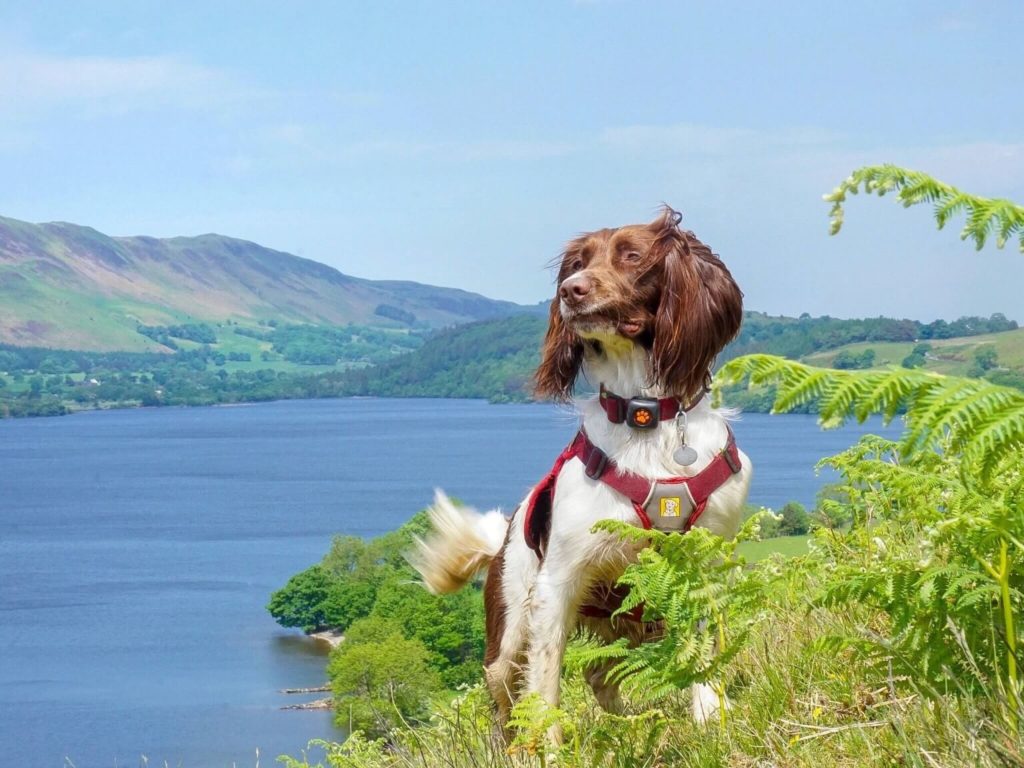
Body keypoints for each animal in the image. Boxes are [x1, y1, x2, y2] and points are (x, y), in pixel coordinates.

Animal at [409, 207, 753, 729]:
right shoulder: (557, 584)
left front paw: (710, 719)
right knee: (508, 701)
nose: (571, 290)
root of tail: (501, 537)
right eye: (576, 263)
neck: (645, 414)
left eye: (632, 256)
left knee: (600, 675)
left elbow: (703, 656)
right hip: (509, 632)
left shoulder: (703, 566)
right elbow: (545, 689)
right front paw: (549, 744)